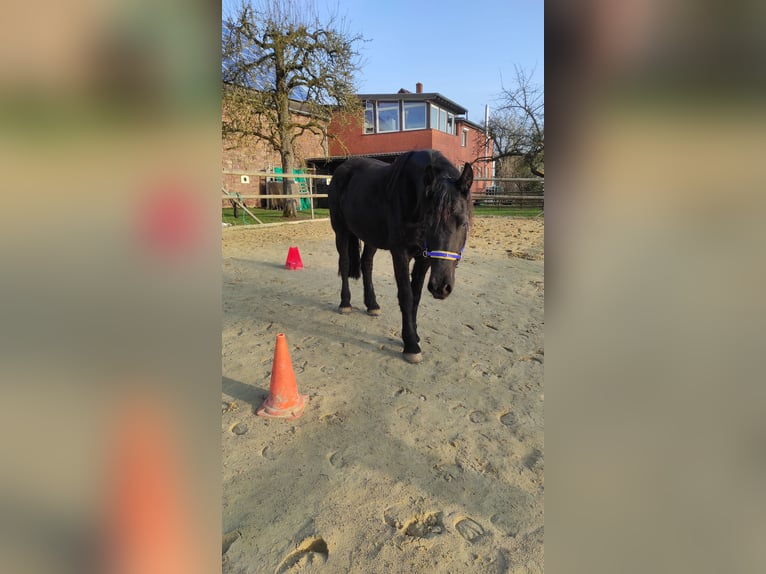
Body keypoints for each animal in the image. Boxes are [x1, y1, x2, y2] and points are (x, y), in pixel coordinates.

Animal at [328, 149, 473, 363]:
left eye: (463, 223)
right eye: (428, 222)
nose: (441, 287)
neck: (412, 196)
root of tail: (342, 168)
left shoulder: (424, 259)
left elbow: (416, 297)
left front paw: (414, 335)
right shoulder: (400, 254)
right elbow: (406, 296)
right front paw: (411, 345)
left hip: (371, 237)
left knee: (366, 264)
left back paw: (372, 305)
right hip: (341, 231)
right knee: (345, 264)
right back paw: (345, 303)